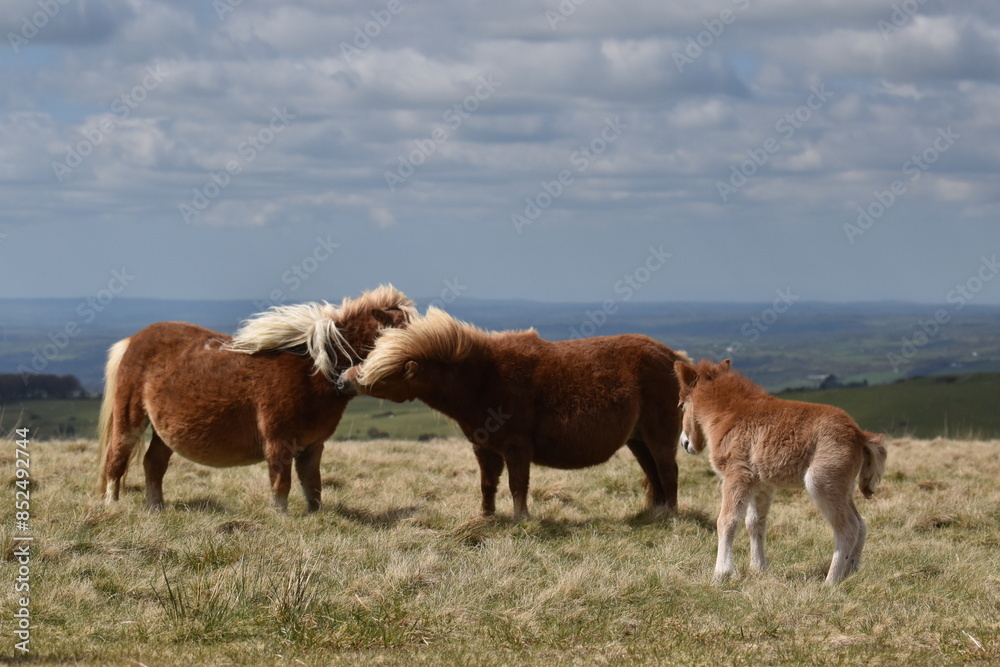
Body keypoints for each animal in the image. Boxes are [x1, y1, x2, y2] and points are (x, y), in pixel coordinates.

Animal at [96, 285, 415, 513]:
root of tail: (132, 341)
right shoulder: (279, 442)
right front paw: (281, 518)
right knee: (117, 459)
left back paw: (156, 508)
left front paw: (315, 516)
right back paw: (113, 506)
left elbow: (313, 486)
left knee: (153, 464)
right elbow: (281, 483)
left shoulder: (313, 446)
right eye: (399, 334)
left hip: (166, 431)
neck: (313, 370)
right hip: (130, 420)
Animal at [338, 306, 689, 521]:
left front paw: (521, 519)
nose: (343, 380)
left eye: (384, 374)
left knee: (668, 473)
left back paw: (670, 516)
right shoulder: (485, 448)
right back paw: (657, 513)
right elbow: (488, 485)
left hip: (658, 438)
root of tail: (674, 357)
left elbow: (517, 485)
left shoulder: (517, 448)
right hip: (637, 440)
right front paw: (486, 517)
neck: (483, 378)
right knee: (654, 475)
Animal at [674, 358, 887, 584]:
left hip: (821, 482)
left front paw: (720, 574)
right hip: (843, 489)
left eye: (681, 405)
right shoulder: (761, 485)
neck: (729, 414)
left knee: (848, 528)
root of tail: (859, 435)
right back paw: (851, 573)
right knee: (861, 524)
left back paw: (831, 582)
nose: (685, 443)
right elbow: (754, 523)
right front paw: (758, 568)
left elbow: (727, 521)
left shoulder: (736, 475)